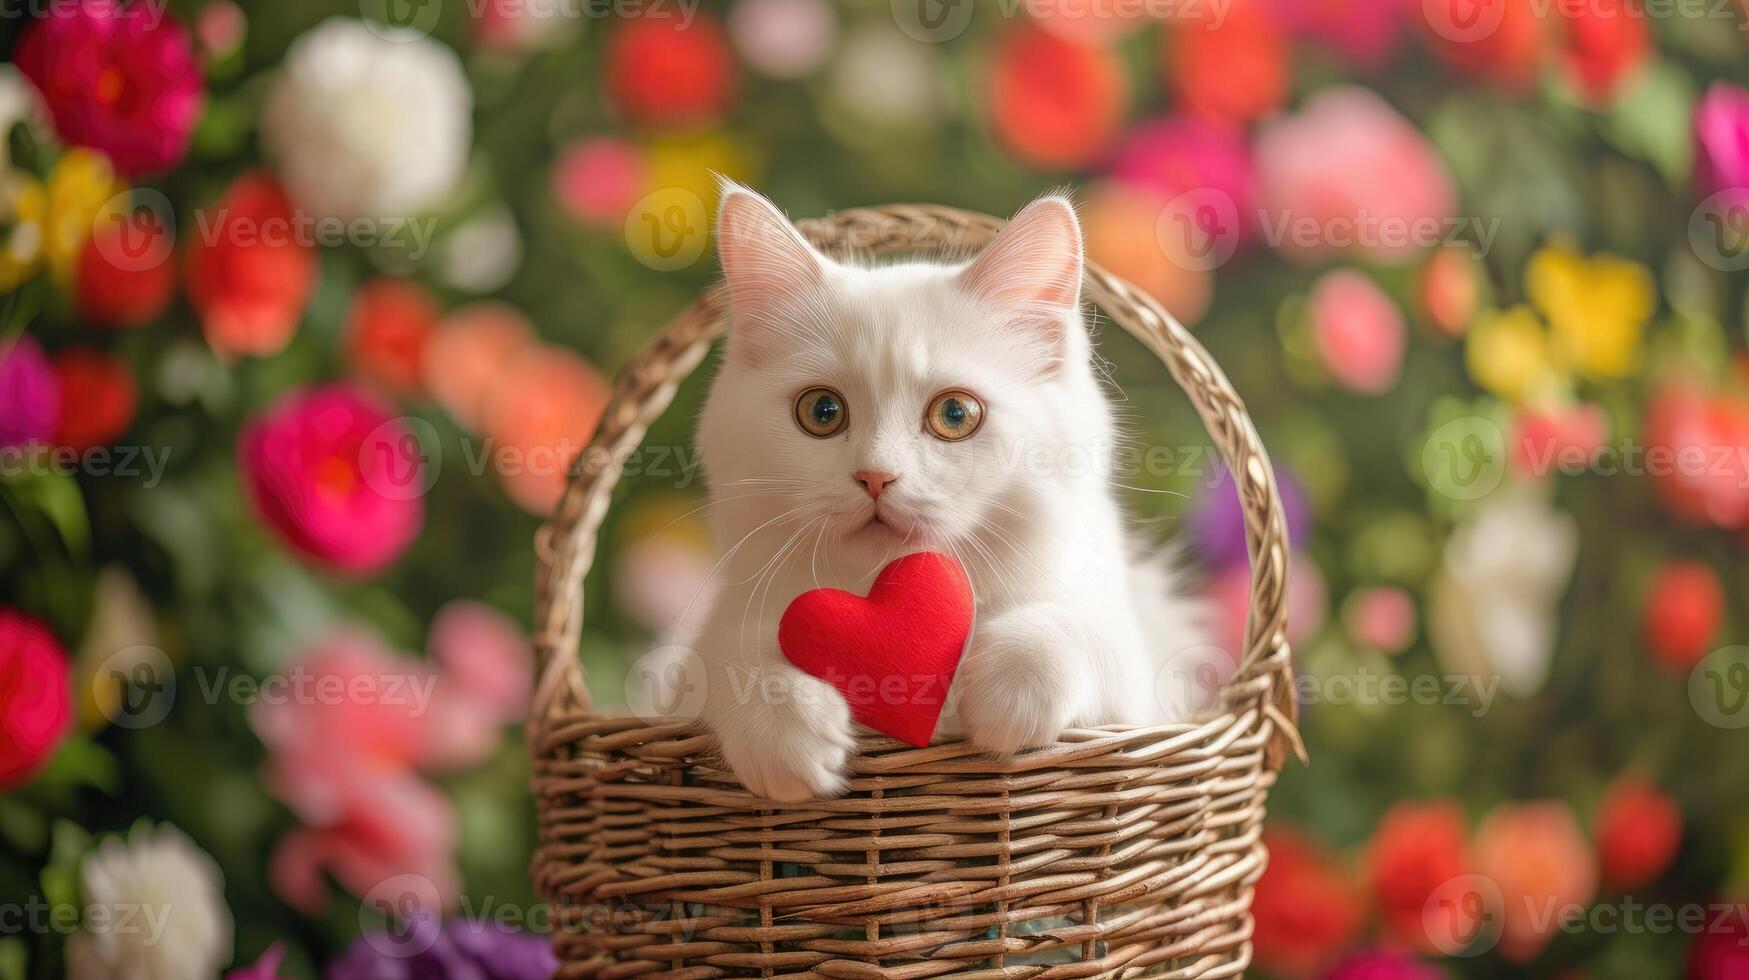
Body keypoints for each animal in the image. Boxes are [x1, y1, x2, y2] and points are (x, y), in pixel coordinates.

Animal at [682, 185, 1217, 805]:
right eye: (821, 411)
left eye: (955, 414)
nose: (875, 476)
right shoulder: (700, 652)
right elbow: (731, 657)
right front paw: (783, 724)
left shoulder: (1138, 683)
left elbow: (1081, 631)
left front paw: (1005, 692)